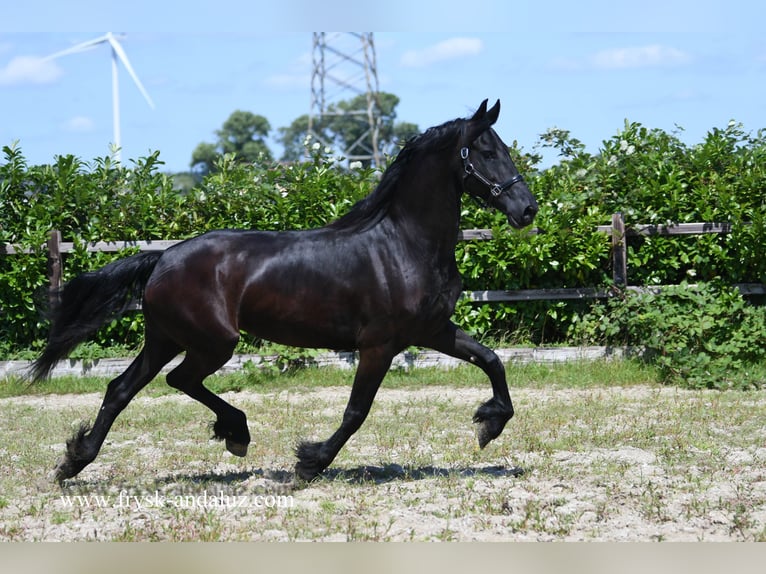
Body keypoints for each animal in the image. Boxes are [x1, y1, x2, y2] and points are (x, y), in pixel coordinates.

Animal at [31, 100, 540, 486]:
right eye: (486, 151)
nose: (527, 210)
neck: (403, 244)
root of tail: (162, 259)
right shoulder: (379, 345)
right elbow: (357, 411)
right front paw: (309, 462)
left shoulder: (432, 330)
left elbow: (491, 360)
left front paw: (489, 424)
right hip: (213, 342)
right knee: (178, 380)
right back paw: (235, 432)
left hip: (165, 338)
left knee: (122, 388)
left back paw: (75, 461)